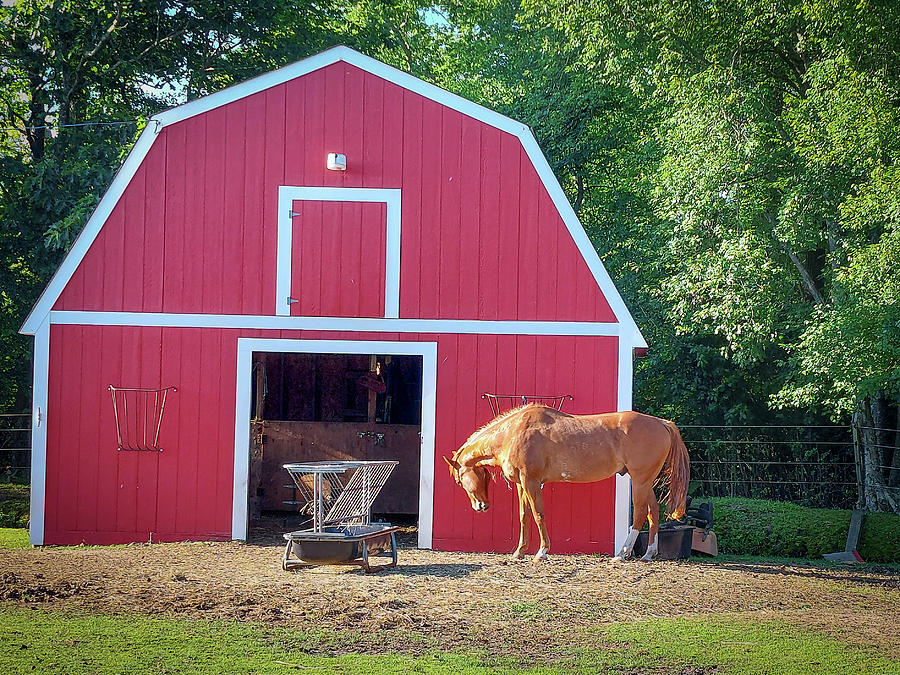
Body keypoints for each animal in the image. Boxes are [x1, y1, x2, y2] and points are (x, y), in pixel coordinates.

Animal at [442, 404, 688, 564]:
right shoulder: (522, 485)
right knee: (653, 511)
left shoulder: (531, 482)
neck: (513, 433)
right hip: (646, 482)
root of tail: (661, 423)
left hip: (639, 480)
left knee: (639, 514)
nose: (480, 506)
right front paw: (519, 551)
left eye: (459, 480)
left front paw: (542, 552)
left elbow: (538, 514)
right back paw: (648, 554)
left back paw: (622, 554)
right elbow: (524, 516)